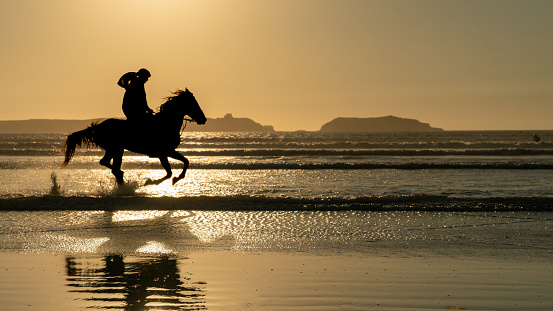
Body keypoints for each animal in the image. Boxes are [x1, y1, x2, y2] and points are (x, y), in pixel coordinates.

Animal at [60, 88, 206, 185]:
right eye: (193, 103)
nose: (203, 119)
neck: (166, 123)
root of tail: (96, 127)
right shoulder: (166, 151)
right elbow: (178, 166)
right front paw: (166, 179)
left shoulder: (164, 153)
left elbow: (178, 166)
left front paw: (173, 178)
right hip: (116, 149)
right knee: (111, 166)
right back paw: (122, 178)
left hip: (115, 149)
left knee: (107, 163)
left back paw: (121, 179)